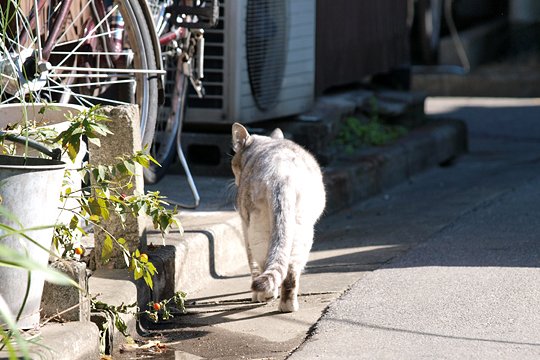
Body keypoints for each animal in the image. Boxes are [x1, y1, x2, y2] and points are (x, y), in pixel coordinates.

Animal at [231, 122, 324, 310]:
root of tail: (281, 176)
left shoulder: (245, 227)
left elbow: (252, 264)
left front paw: (257, 296)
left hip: (258, 233)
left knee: (265, 264)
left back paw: (265, 295)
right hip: (301, 232)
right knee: (290, 270)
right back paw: (288, 306)